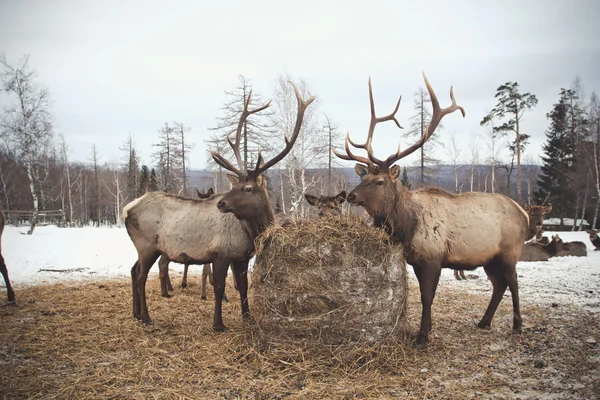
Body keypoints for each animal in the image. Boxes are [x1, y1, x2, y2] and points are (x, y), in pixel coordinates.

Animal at [125, 79, 316, 330]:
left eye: (247, 188)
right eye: (236, 186)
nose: (221, 203)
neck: (251, 232)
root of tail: (126, 210)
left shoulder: (242, 257)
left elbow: (243, 288)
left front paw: (247, 317)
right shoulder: (220, 253)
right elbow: (219, 288)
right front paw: (218, 324)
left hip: (144, 247)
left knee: (133, 269)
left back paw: (136, 314)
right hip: (147, 244)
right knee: (140, 275)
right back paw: (146, 317)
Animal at [332, 73, 528, 346]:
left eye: (379, 181)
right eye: (364, 177)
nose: (351, 195)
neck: (406, 227)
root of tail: (524, 213)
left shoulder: (433, 257)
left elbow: (427, 296)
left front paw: (423, 335)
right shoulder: (415, 260)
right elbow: (425, 296)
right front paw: (429, 328)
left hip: (510, 251)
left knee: (513, 282)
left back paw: (517, 325)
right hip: (489, 258)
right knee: (499, 285)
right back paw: (484, 322)